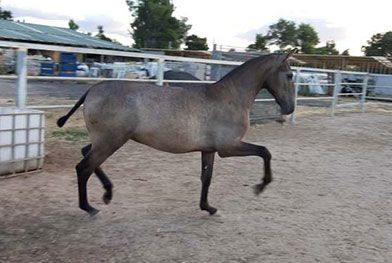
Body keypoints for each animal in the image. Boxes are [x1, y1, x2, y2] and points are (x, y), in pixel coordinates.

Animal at [56, 50, 296, 216]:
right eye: (290, 75)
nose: (289, 108)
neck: (230, 97)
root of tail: (92, 90)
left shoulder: (209, 150)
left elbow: (206, 178)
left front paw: (208, 207)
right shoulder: (228, 147)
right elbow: (265, 151)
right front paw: (261, 186)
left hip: (106, 141)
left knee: (86, 154)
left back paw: (107, 193)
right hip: (110, 142)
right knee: (84, 167)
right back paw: (89, 207)